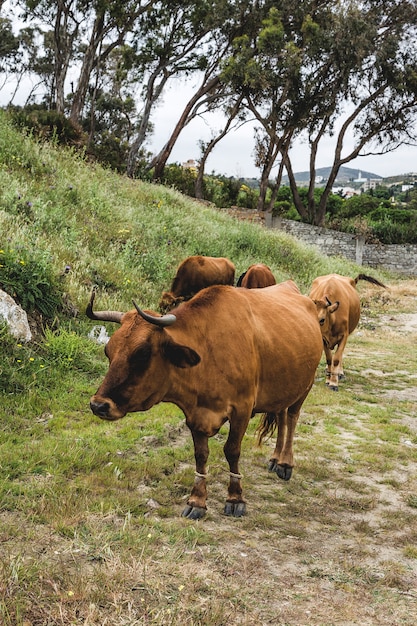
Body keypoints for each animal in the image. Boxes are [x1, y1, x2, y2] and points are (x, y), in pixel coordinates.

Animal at [87, 282, 322, 516]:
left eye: (142, 354)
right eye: (108, 351)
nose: (98, 405)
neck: (208, 353)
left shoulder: (243, 409)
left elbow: (232, 451)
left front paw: (235, 498)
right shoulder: (195, 413)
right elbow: (200, 455)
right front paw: (197, 500)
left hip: (306, 386)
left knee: (291, 418)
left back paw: (285, 463)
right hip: (285, 388)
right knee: (281, 416)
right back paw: (275, 459)